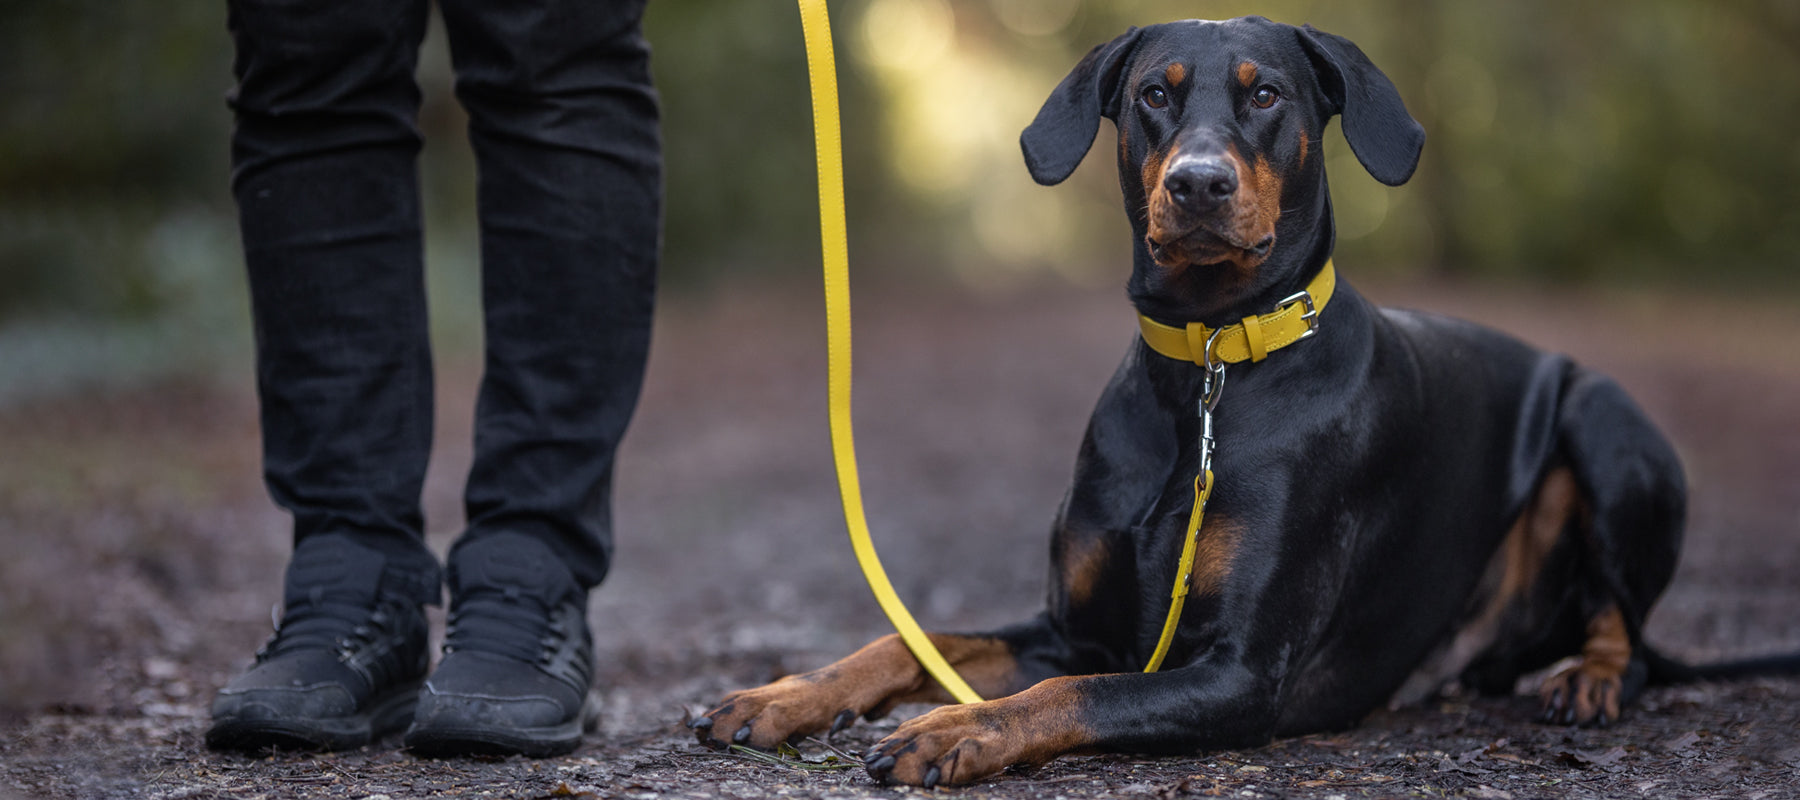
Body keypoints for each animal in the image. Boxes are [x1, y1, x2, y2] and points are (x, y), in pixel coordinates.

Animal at [694, 17, 1778, 789]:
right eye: (1152, 96)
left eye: (1266, 95)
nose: (1199, 185)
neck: (1209, 367)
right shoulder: (1077, 620)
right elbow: (921, 639)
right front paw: (784, 695)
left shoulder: (1240, 673)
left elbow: (1074, 691)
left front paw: (957, 725)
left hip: (1608, 416)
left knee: (1628, 634)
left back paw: (1588, 677)